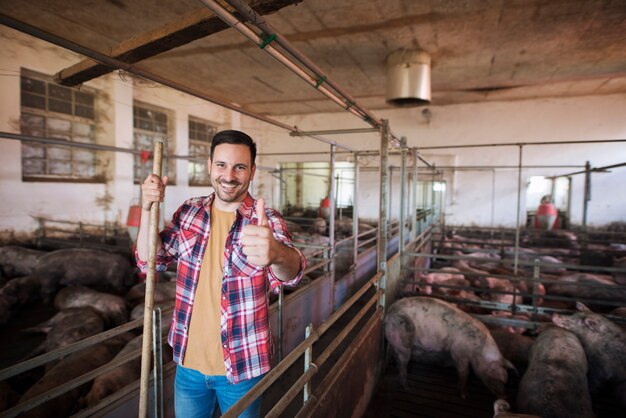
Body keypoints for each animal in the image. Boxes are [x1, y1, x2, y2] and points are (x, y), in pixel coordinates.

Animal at [382, 294, 516, 398]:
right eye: (495, 375)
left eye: (506, 381)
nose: (505, 396)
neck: (479, 350)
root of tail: (389, 312)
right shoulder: (458, 351)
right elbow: (464, 372)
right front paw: (465, 396)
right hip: (402, 337)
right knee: (403, 362)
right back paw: (407, 387)